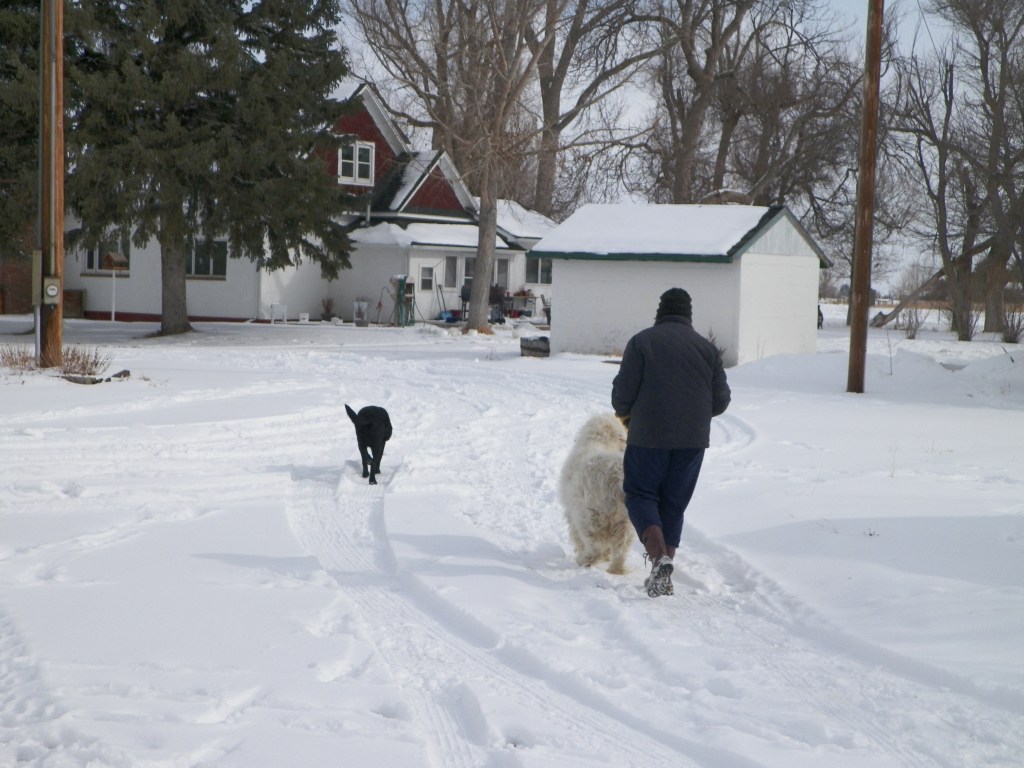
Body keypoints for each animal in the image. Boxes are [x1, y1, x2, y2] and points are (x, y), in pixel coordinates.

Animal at [559, 413, 633, 575]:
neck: (603, 440)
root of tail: (616, 478)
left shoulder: (571, 514)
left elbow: (577, 538)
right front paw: (607, 557)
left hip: (588, 517)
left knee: (594, 547)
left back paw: (583, 561)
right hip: (625, 521)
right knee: (621, 549)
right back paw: (615, 569)